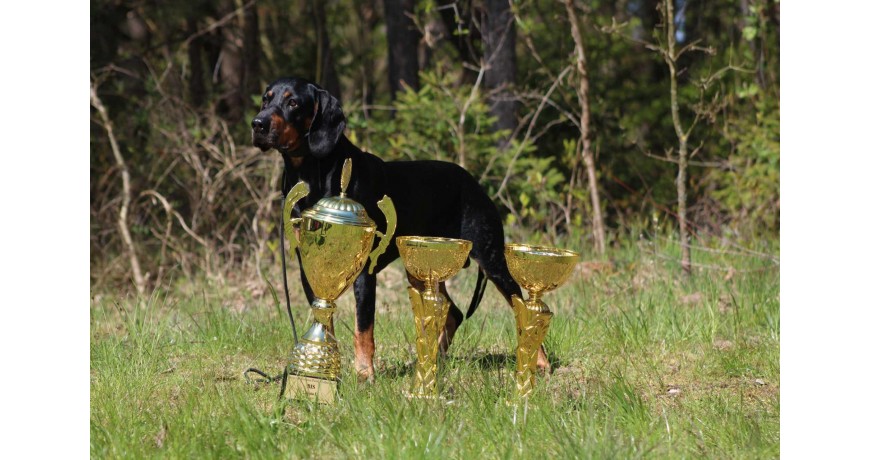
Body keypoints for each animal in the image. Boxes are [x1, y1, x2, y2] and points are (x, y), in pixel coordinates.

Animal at [252, 78, 552, 380]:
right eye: (266, 99)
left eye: (293, 103)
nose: (258, 124)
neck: (312, 173)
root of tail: (476, 185)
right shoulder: (309, 266)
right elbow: (325, 319)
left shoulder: (364, 269)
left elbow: (363, 329)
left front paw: (364, 374)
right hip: (422, 265)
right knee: (454, 312)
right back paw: (434, 361)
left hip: (492, 259)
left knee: (522, 307)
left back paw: (540, 364)